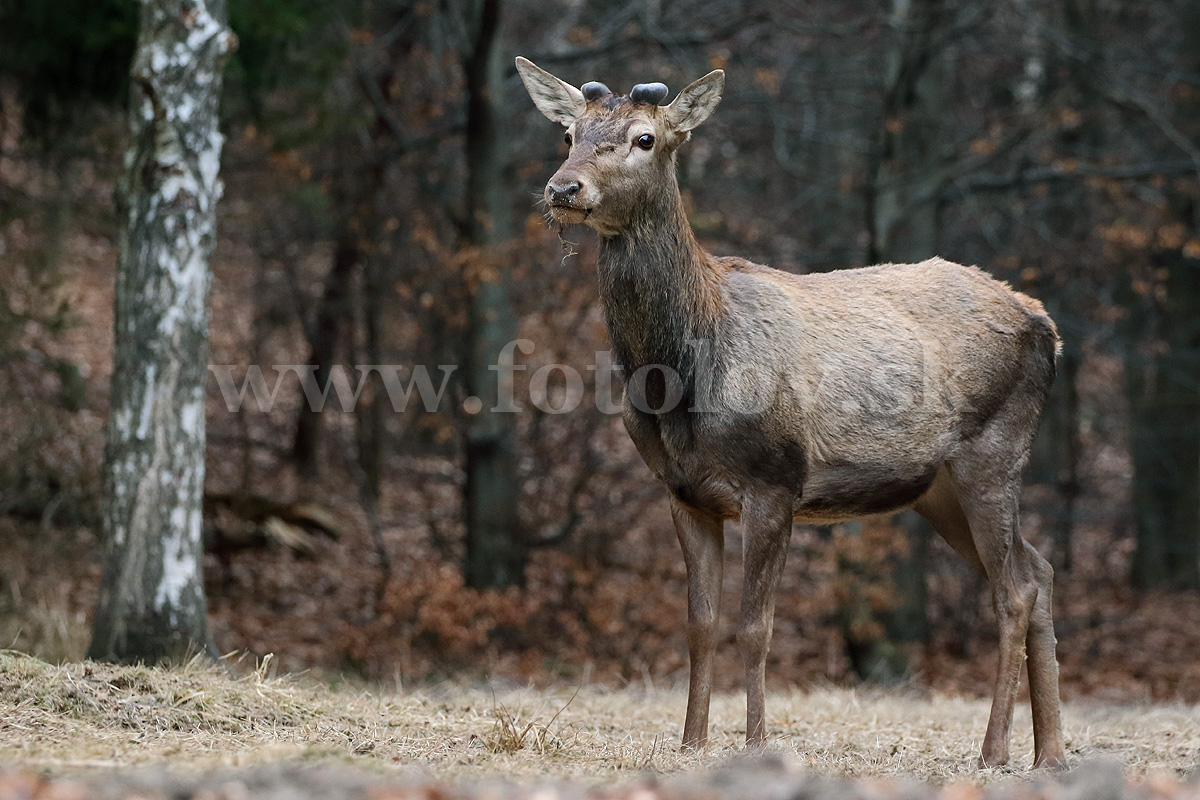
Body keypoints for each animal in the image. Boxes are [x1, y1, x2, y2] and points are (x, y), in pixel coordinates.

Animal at [516, 56, 1070, 767]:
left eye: (645, 138)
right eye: (568, 134)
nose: (564, 187)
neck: (681, 375)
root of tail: (1046, 325)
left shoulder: (775, 479)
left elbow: (756, 626)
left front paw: (755, 743)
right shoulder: (683, 491)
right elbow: (700, 623)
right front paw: (692, 742)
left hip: (993, 450)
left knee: (1013, 590)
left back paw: (994, 751)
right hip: (938, 488)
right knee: (1039, 569)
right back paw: (1050, 753)